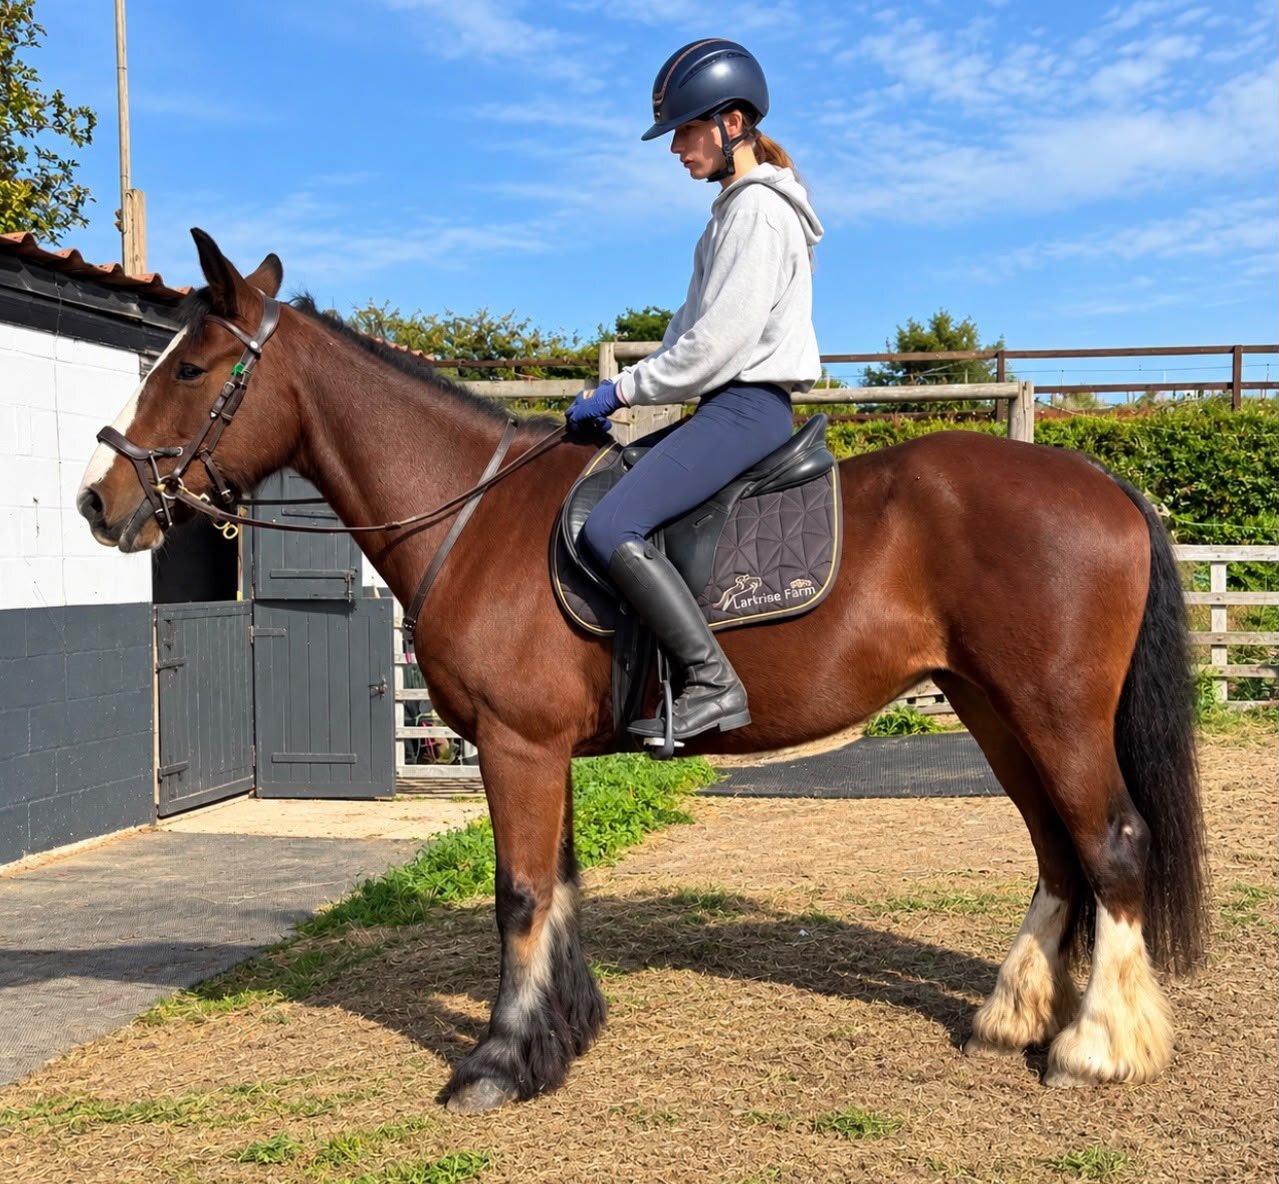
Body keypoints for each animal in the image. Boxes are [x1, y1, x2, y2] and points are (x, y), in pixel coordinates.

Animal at [78, 230, 1207, 1113]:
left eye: (187, 370)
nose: (97, 499)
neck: (472, 517)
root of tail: (1100, 478)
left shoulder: (515, 746)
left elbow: (520, 893)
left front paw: (496, 1062)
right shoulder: (541, 751)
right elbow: (562, 885)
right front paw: (564, 1032)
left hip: (1053, 711)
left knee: (1111, 844)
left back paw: (1094, 1046)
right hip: (992, 708)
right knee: (1056, 851)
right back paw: (1010, 1015)